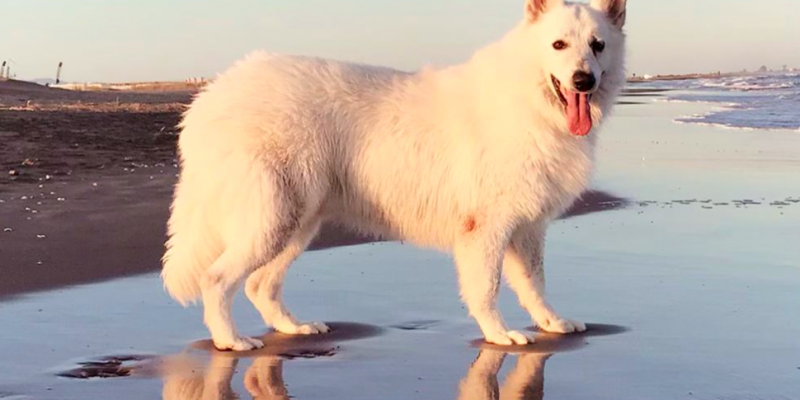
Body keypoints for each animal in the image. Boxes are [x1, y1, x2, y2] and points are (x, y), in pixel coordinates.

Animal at [162, 0, 624, 350]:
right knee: (216, 279)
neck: (530, 102)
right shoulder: (486, 228)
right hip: (273, 218)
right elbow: (487, 289)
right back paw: (230, 341)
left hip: (297, 223)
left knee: (260, 284)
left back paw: (294, 329)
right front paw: (498, 334)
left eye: (597, 45)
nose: (583, 80)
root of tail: (212, 95)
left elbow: (535, 284)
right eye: (558, 44)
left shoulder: (527, 228)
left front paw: (552, 323)